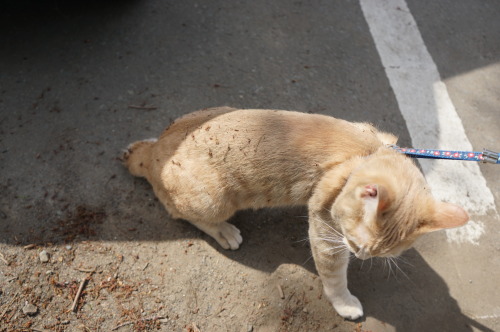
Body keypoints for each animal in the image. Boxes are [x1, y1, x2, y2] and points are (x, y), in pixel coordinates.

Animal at [122, 106, 468, 320]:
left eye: (382, 254)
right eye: (355, 245)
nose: (361, 256)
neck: (365, 155)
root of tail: (154, 154)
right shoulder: (326, 233)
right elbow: (335, 277)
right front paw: (344, 304)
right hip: (213, 200)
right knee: (179, 210)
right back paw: (224, 230)